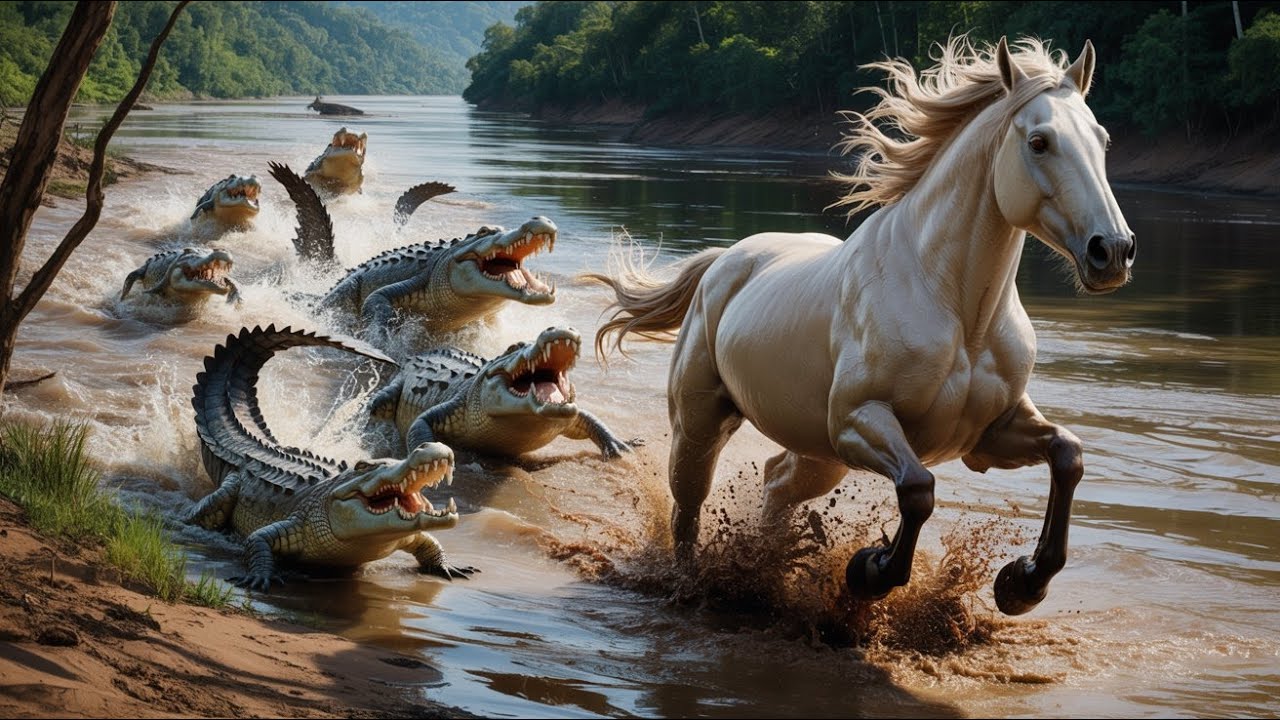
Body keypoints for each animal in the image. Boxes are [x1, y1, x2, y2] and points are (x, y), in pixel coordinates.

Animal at [587, 37, 1134, 616]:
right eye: (1039, 141)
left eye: (1102, 139)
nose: (1112, 251)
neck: (959, 312)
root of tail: (724, 261)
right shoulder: (858, 421)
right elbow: (918, 489)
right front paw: (870, 570)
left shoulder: (990, 435)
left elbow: (1067, 456)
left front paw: (1022, 583)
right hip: (703, 424)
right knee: (687, 508)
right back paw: (695, 583)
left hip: (817, 454)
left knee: (775, 483)